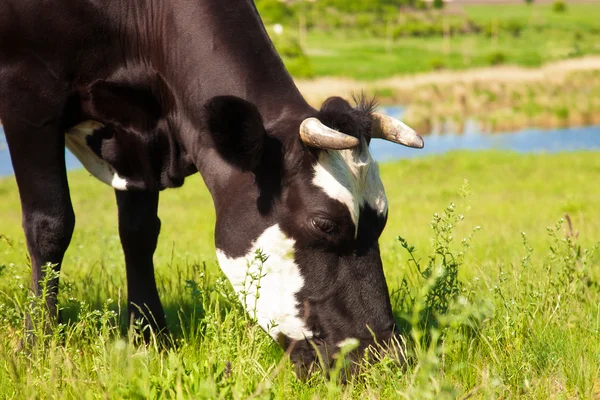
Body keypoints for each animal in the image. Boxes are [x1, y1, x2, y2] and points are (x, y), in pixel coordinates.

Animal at [1, 0, 422, 376]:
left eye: (382, 221)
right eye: (324, 224)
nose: (389, 360)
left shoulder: (136, 139)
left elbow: (139, 234)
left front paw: (151, 338)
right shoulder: (27, 94)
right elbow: (51, 224)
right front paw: (38, 345)